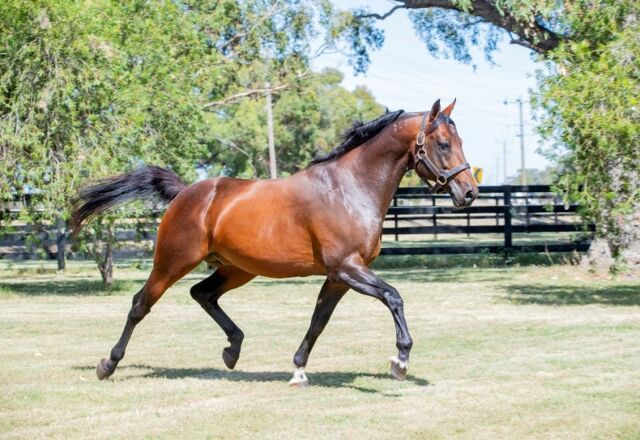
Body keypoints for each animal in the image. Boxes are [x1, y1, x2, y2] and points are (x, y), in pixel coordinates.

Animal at [71, 99, 478, 387]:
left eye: (459, 141)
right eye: (444, 144)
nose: (469, 192)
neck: (350, 188)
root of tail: (187, 193)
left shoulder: (339, 276)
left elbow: (318, 321)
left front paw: (298, 371)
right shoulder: (348, 268)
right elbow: (394, 297)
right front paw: (400, 361)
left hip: (236, 269)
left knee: (203, 294)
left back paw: (232, 350)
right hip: (172, 263)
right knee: (141, 305)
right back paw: (108, 363)